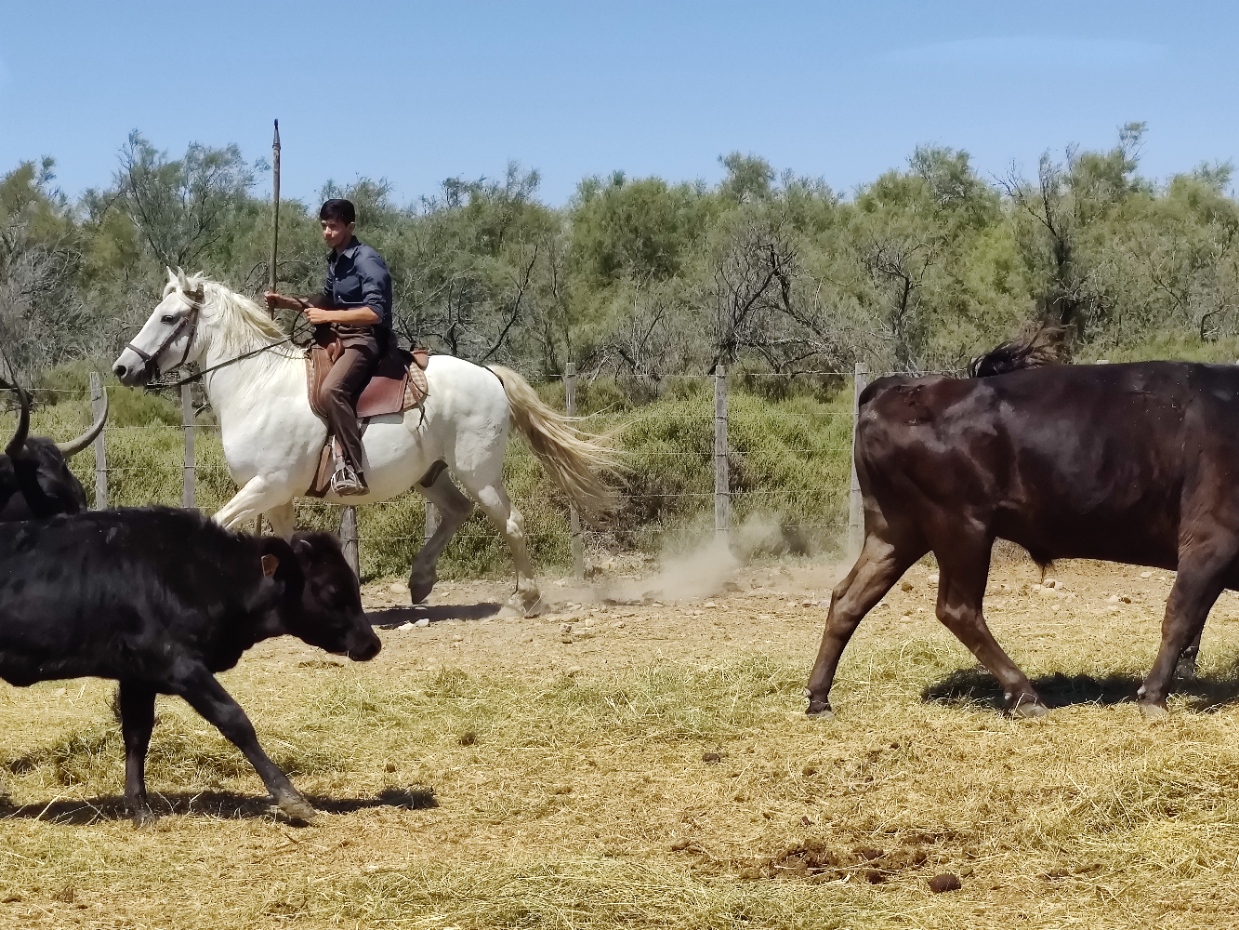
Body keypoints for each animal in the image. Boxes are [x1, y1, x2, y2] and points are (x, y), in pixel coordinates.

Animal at [0, 505, 379, 827]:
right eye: (332, 590)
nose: (372, 643)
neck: (201, 574)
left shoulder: (137, 676)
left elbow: (137, 736)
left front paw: (140, 808)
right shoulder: (177, 663)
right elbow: (236, 721)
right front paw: (291, 798)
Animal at [113, 268, 617, 614]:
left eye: (169, 317)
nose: (123, 368)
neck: (257, 387)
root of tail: (490, 375)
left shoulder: (267, 486)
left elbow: (219, 526)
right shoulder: (276, 498)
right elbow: (284, 548)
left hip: (479, 471)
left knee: (509, 520)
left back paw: (523, 599)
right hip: (431, 474)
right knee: (457, 511)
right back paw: (421, 580)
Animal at [802, 349, 1239, 718]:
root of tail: (902, 387)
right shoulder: (1211, 541)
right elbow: (1181, 617)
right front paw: (1153, 697)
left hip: (896, 531)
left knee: (849, 598)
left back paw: (819, 698)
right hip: (961, 528)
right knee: (958, 609)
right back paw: (1026, 695)